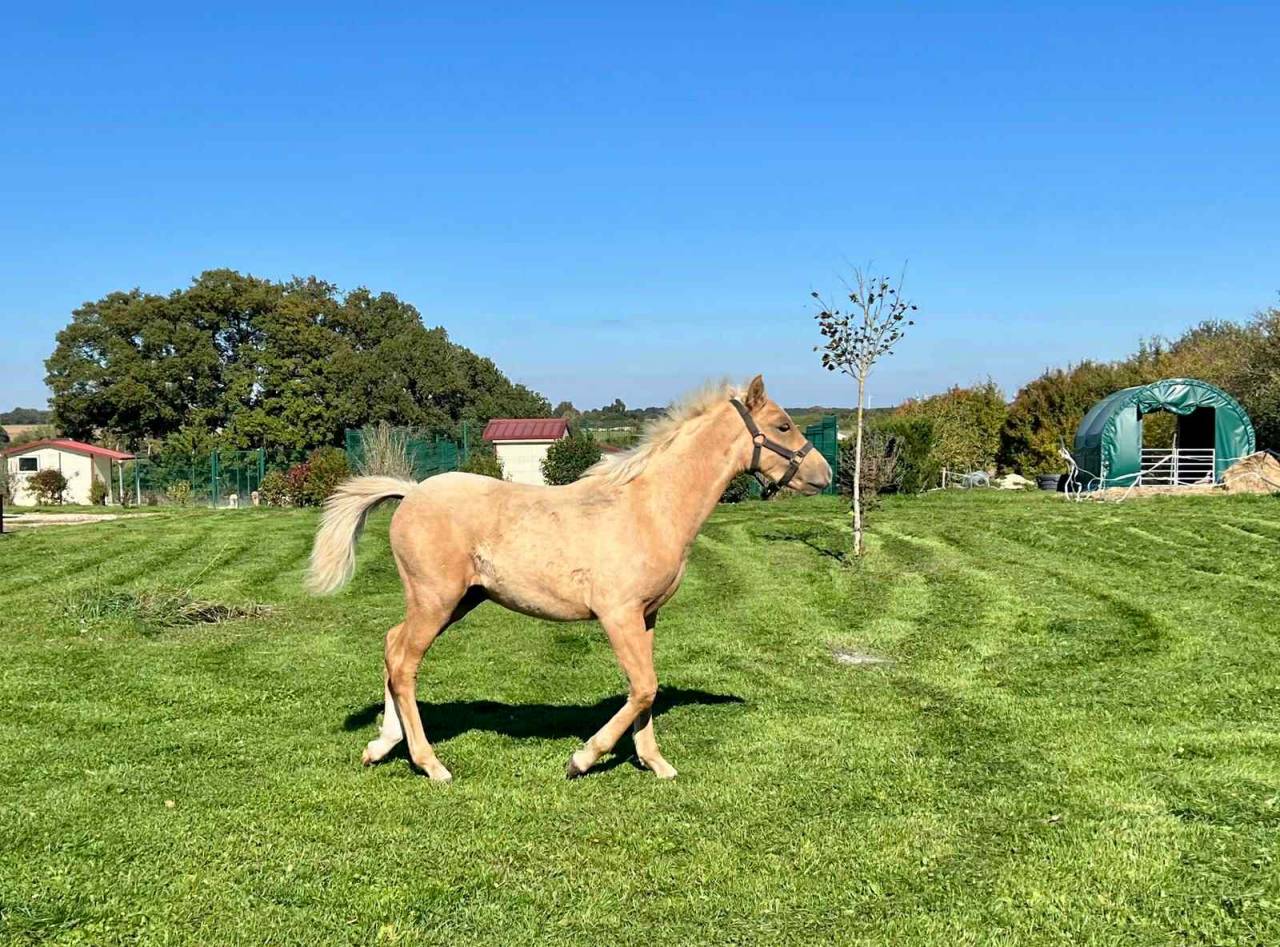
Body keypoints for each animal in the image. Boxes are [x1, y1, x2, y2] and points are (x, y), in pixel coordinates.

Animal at [308, 375, 832, 782]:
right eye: (782, 425)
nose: (824, 474)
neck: (650, 507)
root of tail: (411, 492)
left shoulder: (646, 617)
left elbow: (647, 688)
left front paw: (656, 763)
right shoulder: (617, 614)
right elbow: (644, 686)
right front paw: (582, 759)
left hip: (457, 601)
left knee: (391, 646)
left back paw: (379, 747)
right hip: (435, 600)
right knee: (404, 664)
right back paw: (431, 764)